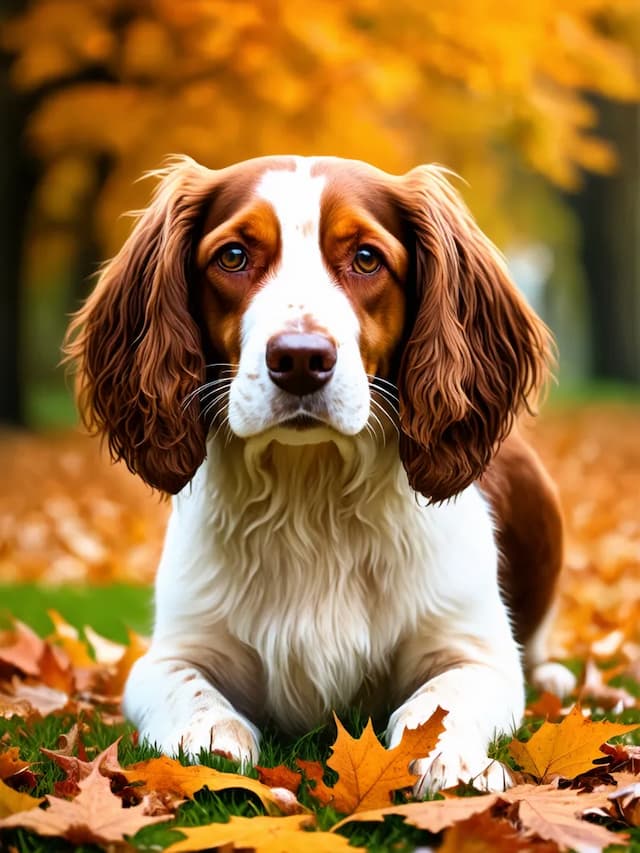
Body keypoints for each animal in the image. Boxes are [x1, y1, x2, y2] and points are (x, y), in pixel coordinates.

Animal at [66, 155, 576, 792]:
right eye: (233, 256)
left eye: (367, 258)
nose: (301, 359)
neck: (311, 493)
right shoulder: (171, 652)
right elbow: (192, 694)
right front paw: (209, 743)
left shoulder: (476, 650)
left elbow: (440, 700)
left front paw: (448, 758)